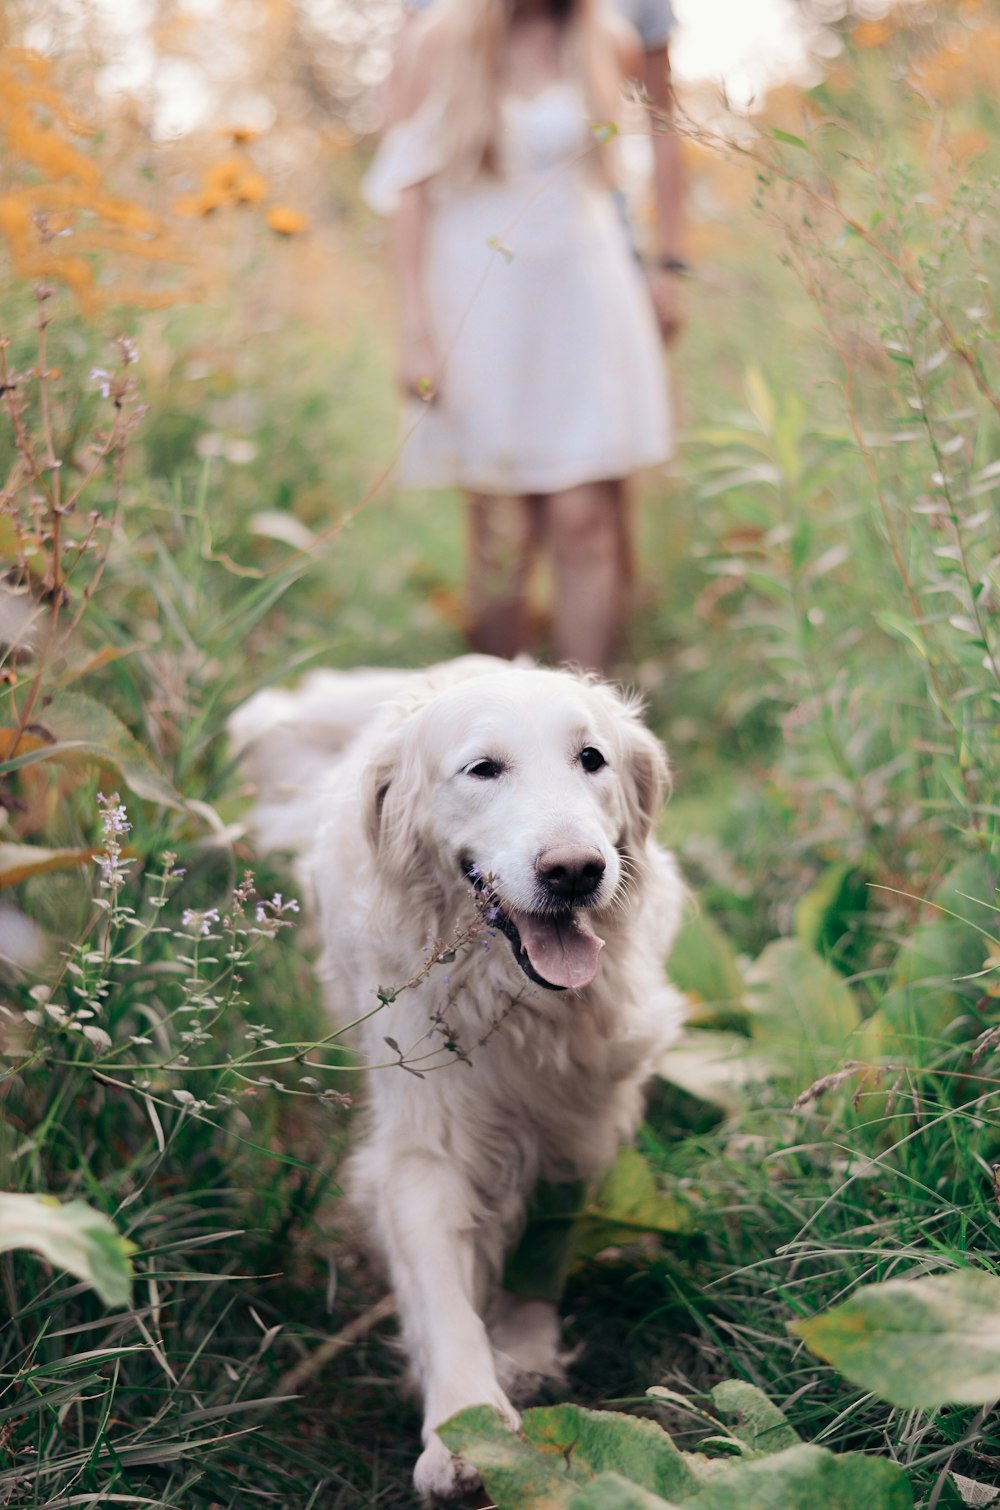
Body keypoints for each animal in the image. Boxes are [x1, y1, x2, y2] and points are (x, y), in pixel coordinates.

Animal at [229, 658, 685, 1497]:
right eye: (483, 768)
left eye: (592, 759)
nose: (576, 871)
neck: (516, 1000)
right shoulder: (425, 1141)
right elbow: (442, 1294)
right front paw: (465, 1430)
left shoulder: (584, 1116)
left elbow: (547, 1238)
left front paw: (527, 1345)